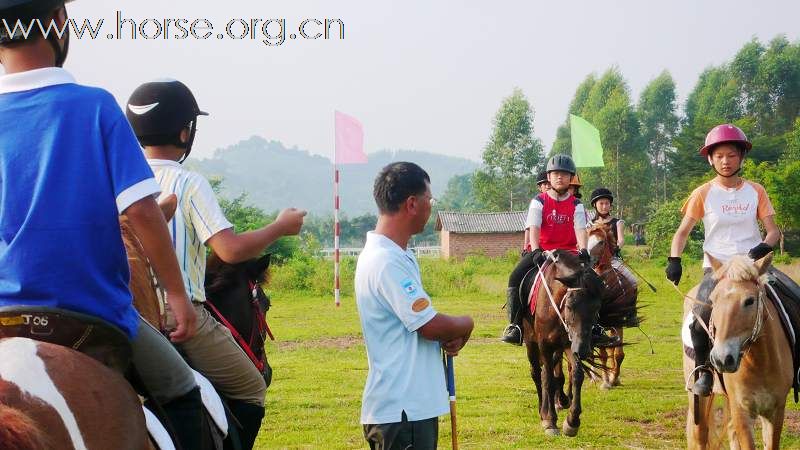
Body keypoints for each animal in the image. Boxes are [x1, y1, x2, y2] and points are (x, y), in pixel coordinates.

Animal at [520, 250, 604, 436]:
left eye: (597, 308)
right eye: (570, 306)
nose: (583, 350)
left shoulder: (570, 344)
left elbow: (577, 375)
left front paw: (572, 421)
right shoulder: (544, 345)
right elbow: (548, 380)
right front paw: (550, 420)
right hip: (532, 344)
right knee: (537, 374)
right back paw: (542, 410)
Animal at [588, 221, 636, 386]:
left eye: (601, 242)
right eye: (588, 240)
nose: (588, 259)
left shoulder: (618, 322)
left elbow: (618, 354)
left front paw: (614, 378)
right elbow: (603, 354)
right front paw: (606, 381)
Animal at [680, 253, 792, 450]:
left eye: (749, 300)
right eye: (712, 300)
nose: (721, 359)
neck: (761, 363)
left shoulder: (775, 411)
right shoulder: (742, 412)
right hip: (698, 400)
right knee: (699, 436)